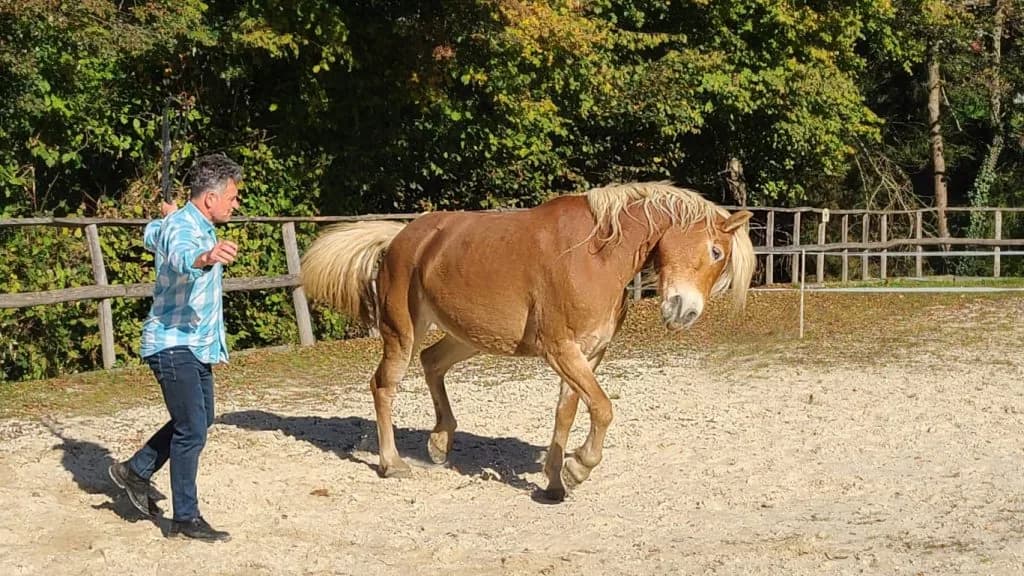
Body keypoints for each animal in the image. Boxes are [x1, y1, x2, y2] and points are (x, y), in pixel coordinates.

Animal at [300, 182, 755, 500]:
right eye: (715, 252)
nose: (684, 313)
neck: (595, 255)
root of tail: (400, 238)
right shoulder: (561, 350)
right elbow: (602, 409)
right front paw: (578, 468)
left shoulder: (589, 354)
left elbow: (567, 414)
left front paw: (555, 483)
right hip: (403, 332)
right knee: (384, 385)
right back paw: (392, 463)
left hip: (467, 336)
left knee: (432, 362)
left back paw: (440, 442)